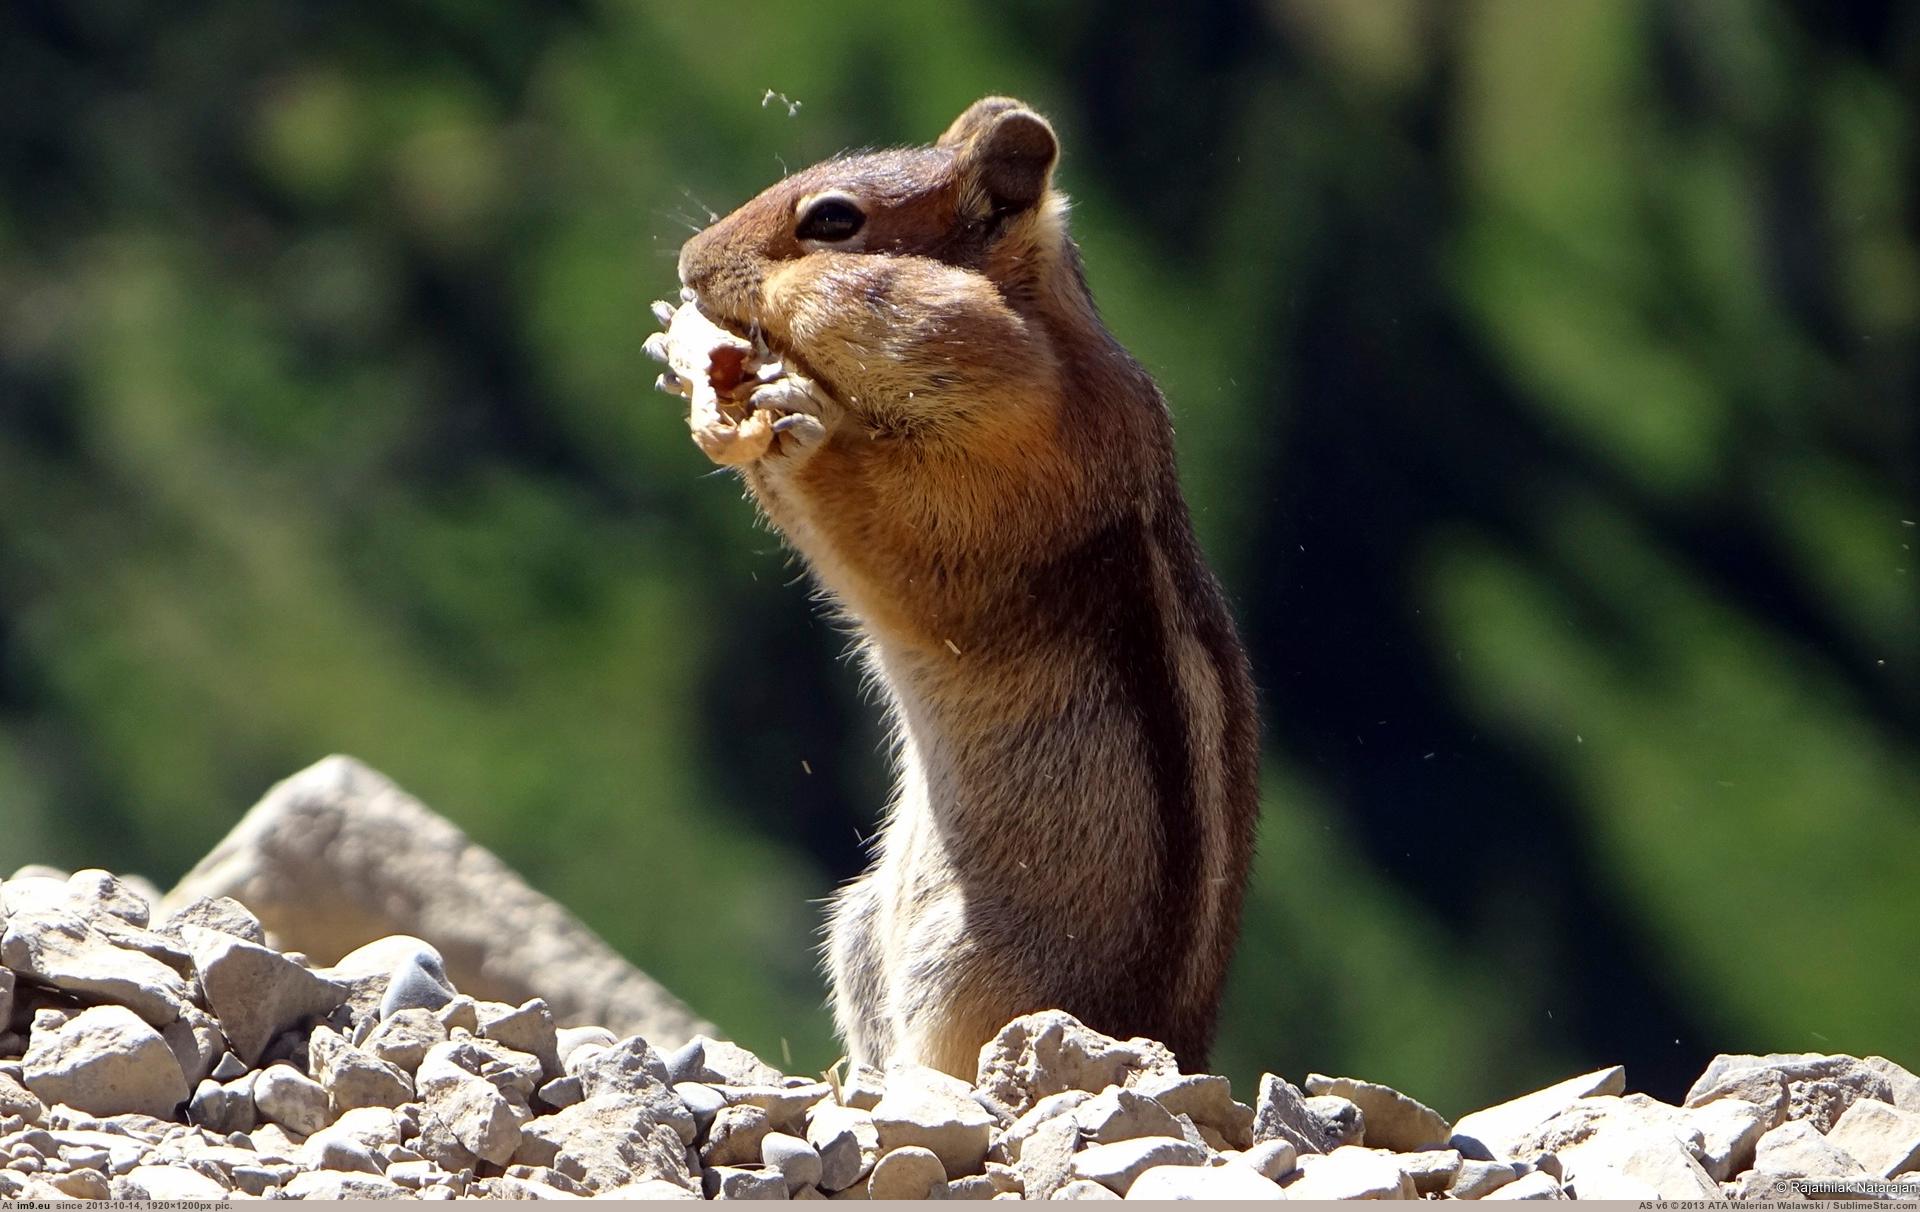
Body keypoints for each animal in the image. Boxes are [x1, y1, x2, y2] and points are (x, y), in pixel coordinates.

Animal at [652, 99, 1267, 1075]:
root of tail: (1184, 1051)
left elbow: (903, 535)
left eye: (834, 221)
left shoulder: (1016, 467)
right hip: (863, 926)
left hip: (970, 967)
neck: (1045, 349)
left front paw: (794, 420)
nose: (689, 264)